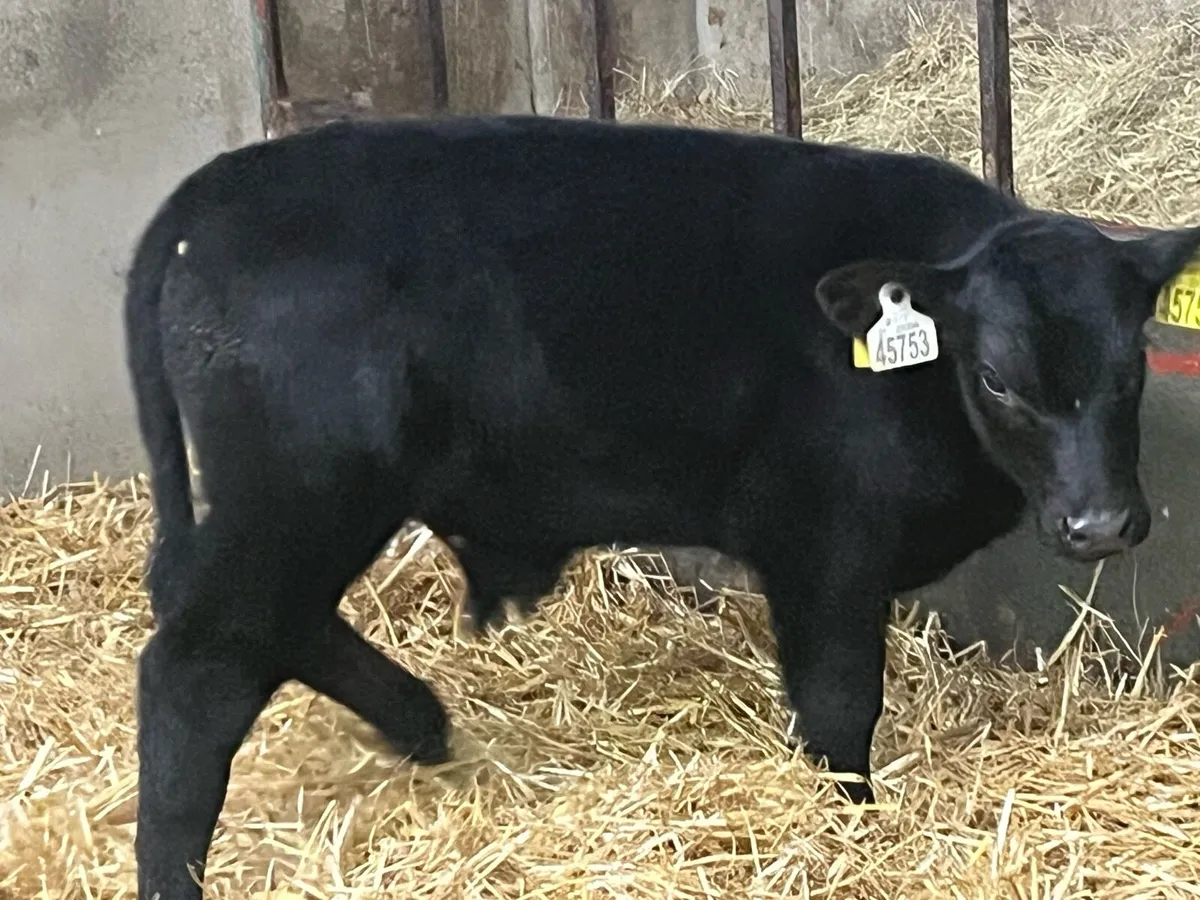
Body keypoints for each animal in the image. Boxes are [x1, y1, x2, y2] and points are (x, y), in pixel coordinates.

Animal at [122, 113, 1200, 898]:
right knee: (201, 663)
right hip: (302, 492)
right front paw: (851, 826)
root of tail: (212, 192)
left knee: (267, 624)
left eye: (1131, 369)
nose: (1102, 526)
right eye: (998, 379)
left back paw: (420, 722)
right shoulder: (825, 546)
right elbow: (840, 702)